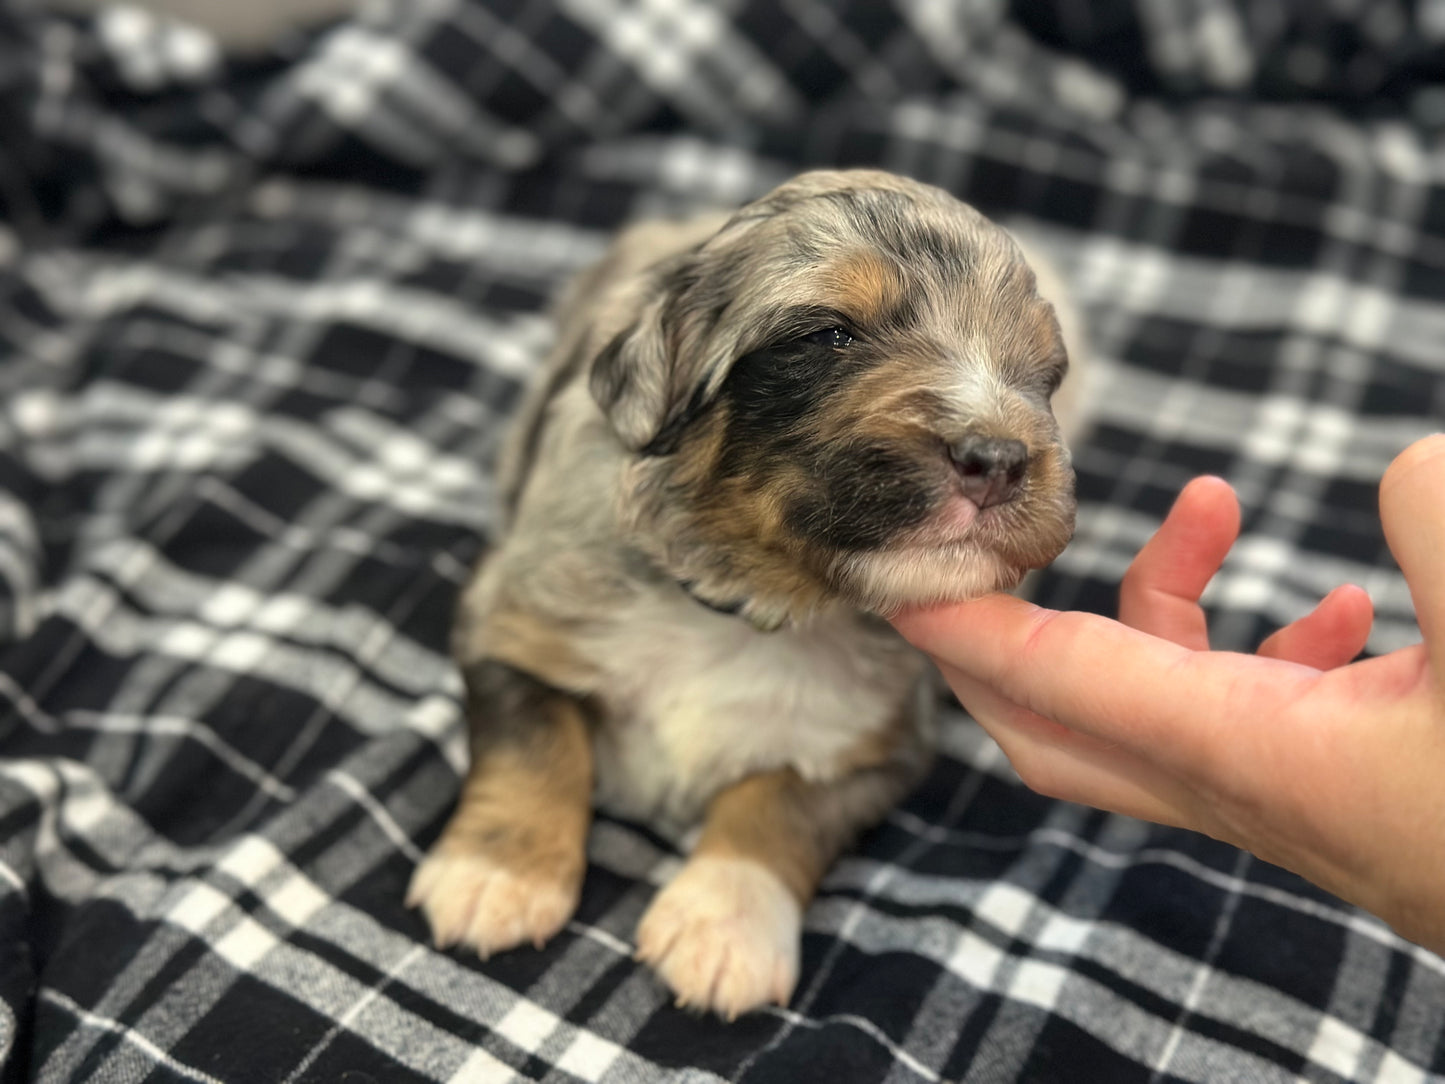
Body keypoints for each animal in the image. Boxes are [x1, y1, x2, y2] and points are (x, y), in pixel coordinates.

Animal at [407, 174, 1086, 1023]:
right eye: (829, 334)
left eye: (1043, 373)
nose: (998, 458)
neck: (746, 606)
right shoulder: (510, 621)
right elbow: (534, 740)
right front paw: (496, 876)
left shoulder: (875, 746)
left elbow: (777, 804)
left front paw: (725, 929)